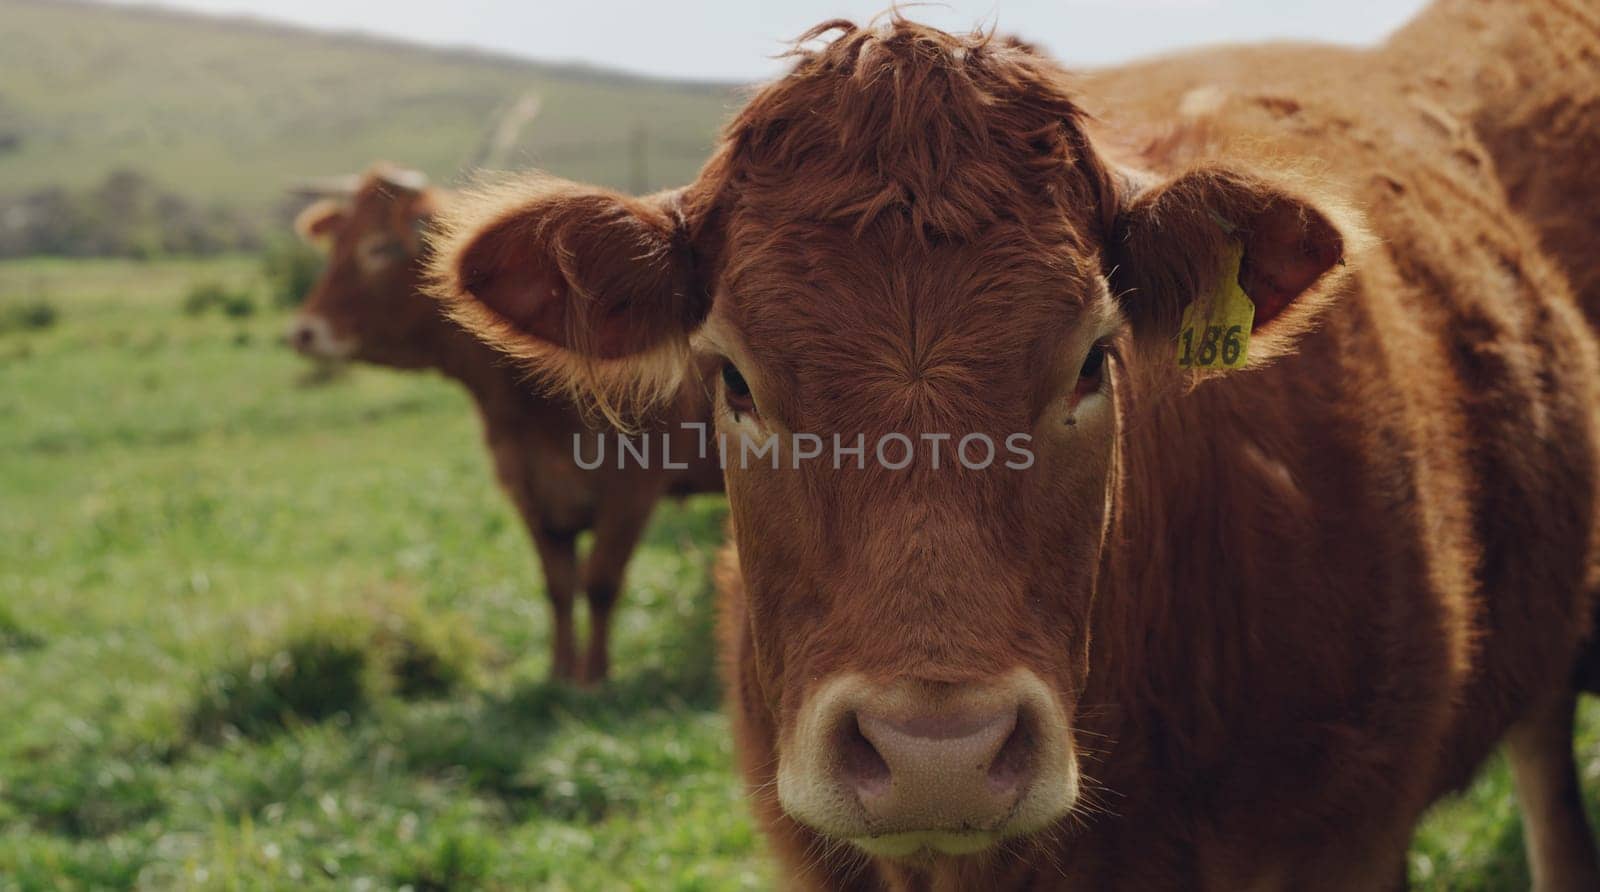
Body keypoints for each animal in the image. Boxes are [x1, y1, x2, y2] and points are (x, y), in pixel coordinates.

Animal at [286, 162, 720, 684]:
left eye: (380, 246)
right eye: (337, 243)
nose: (303, 330)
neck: (537, 411)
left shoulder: (634, 489)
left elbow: (600, 583)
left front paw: (594, 677)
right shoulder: (529, 490)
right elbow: (557, 586)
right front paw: (559, 672)